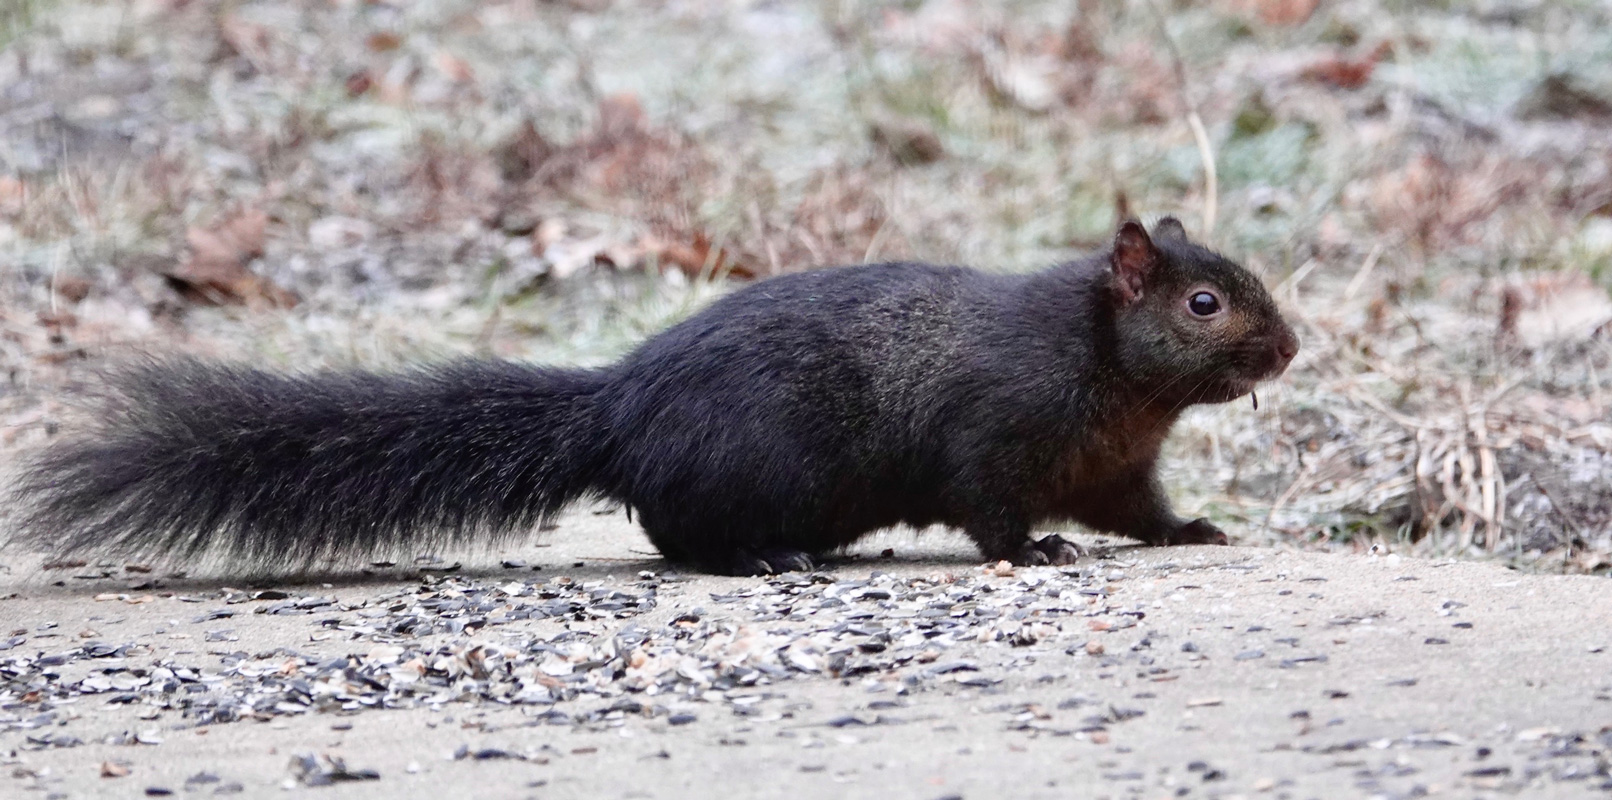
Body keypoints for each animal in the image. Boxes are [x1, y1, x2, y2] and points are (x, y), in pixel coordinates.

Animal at [6, 219, 1296, 574]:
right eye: (1203, 303)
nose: (1288, 347)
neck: (1113, 379)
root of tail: (617, 409)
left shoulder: (1113, 462)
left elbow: (1137, 510)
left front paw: (1194, 526)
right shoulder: (996, 429)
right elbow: (988, 505)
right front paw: (1030, 553)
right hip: (759, 465)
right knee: (676, 535)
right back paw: (766, 558)